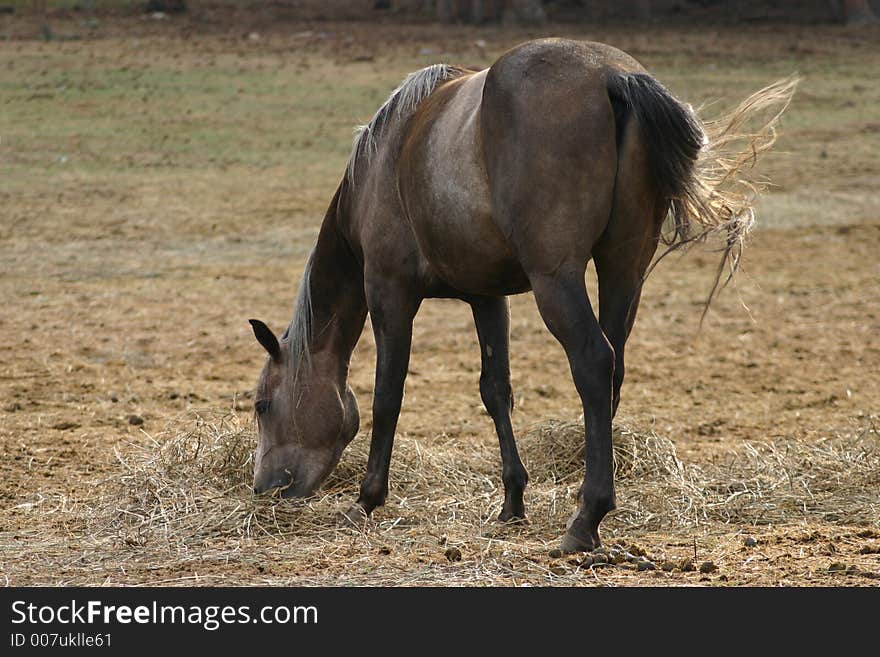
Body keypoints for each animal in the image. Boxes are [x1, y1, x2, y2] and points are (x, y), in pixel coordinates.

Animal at [248, 38, 796, 552]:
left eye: (262, 404)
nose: (264, 488)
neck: (386, 157)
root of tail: (612, 76)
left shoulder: (389, 292)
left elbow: (389, 393)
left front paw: (367, 498)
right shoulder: (487, 297)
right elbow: (496, 391)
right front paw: (512, 500)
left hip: (557, 279)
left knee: (593, 360)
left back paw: (587, 517)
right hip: (624, 270)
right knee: (614, 367)